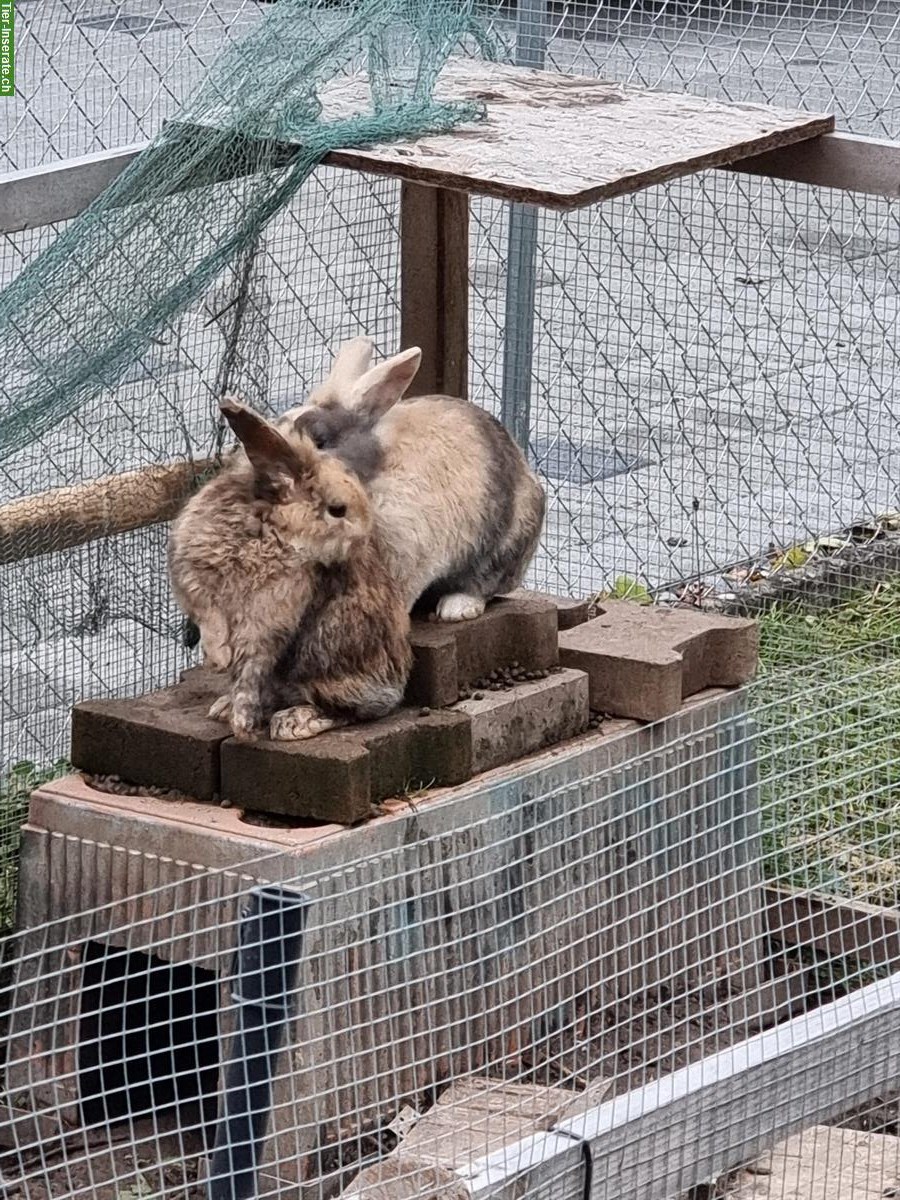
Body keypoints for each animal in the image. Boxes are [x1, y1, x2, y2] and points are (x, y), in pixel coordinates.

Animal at [168, 393, 415, 739]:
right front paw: (217, 661)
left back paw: (292, 723)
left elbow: (250, 669)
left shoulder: (266, 621)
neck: (272, 529)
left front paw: (242, 725)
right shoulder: (198, 588)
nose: (365, 537)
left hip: (327, 667)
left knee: (351, 711)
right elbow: (212, 624)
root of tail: (395, 687)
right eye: (337, 509)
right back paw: (225, 708)